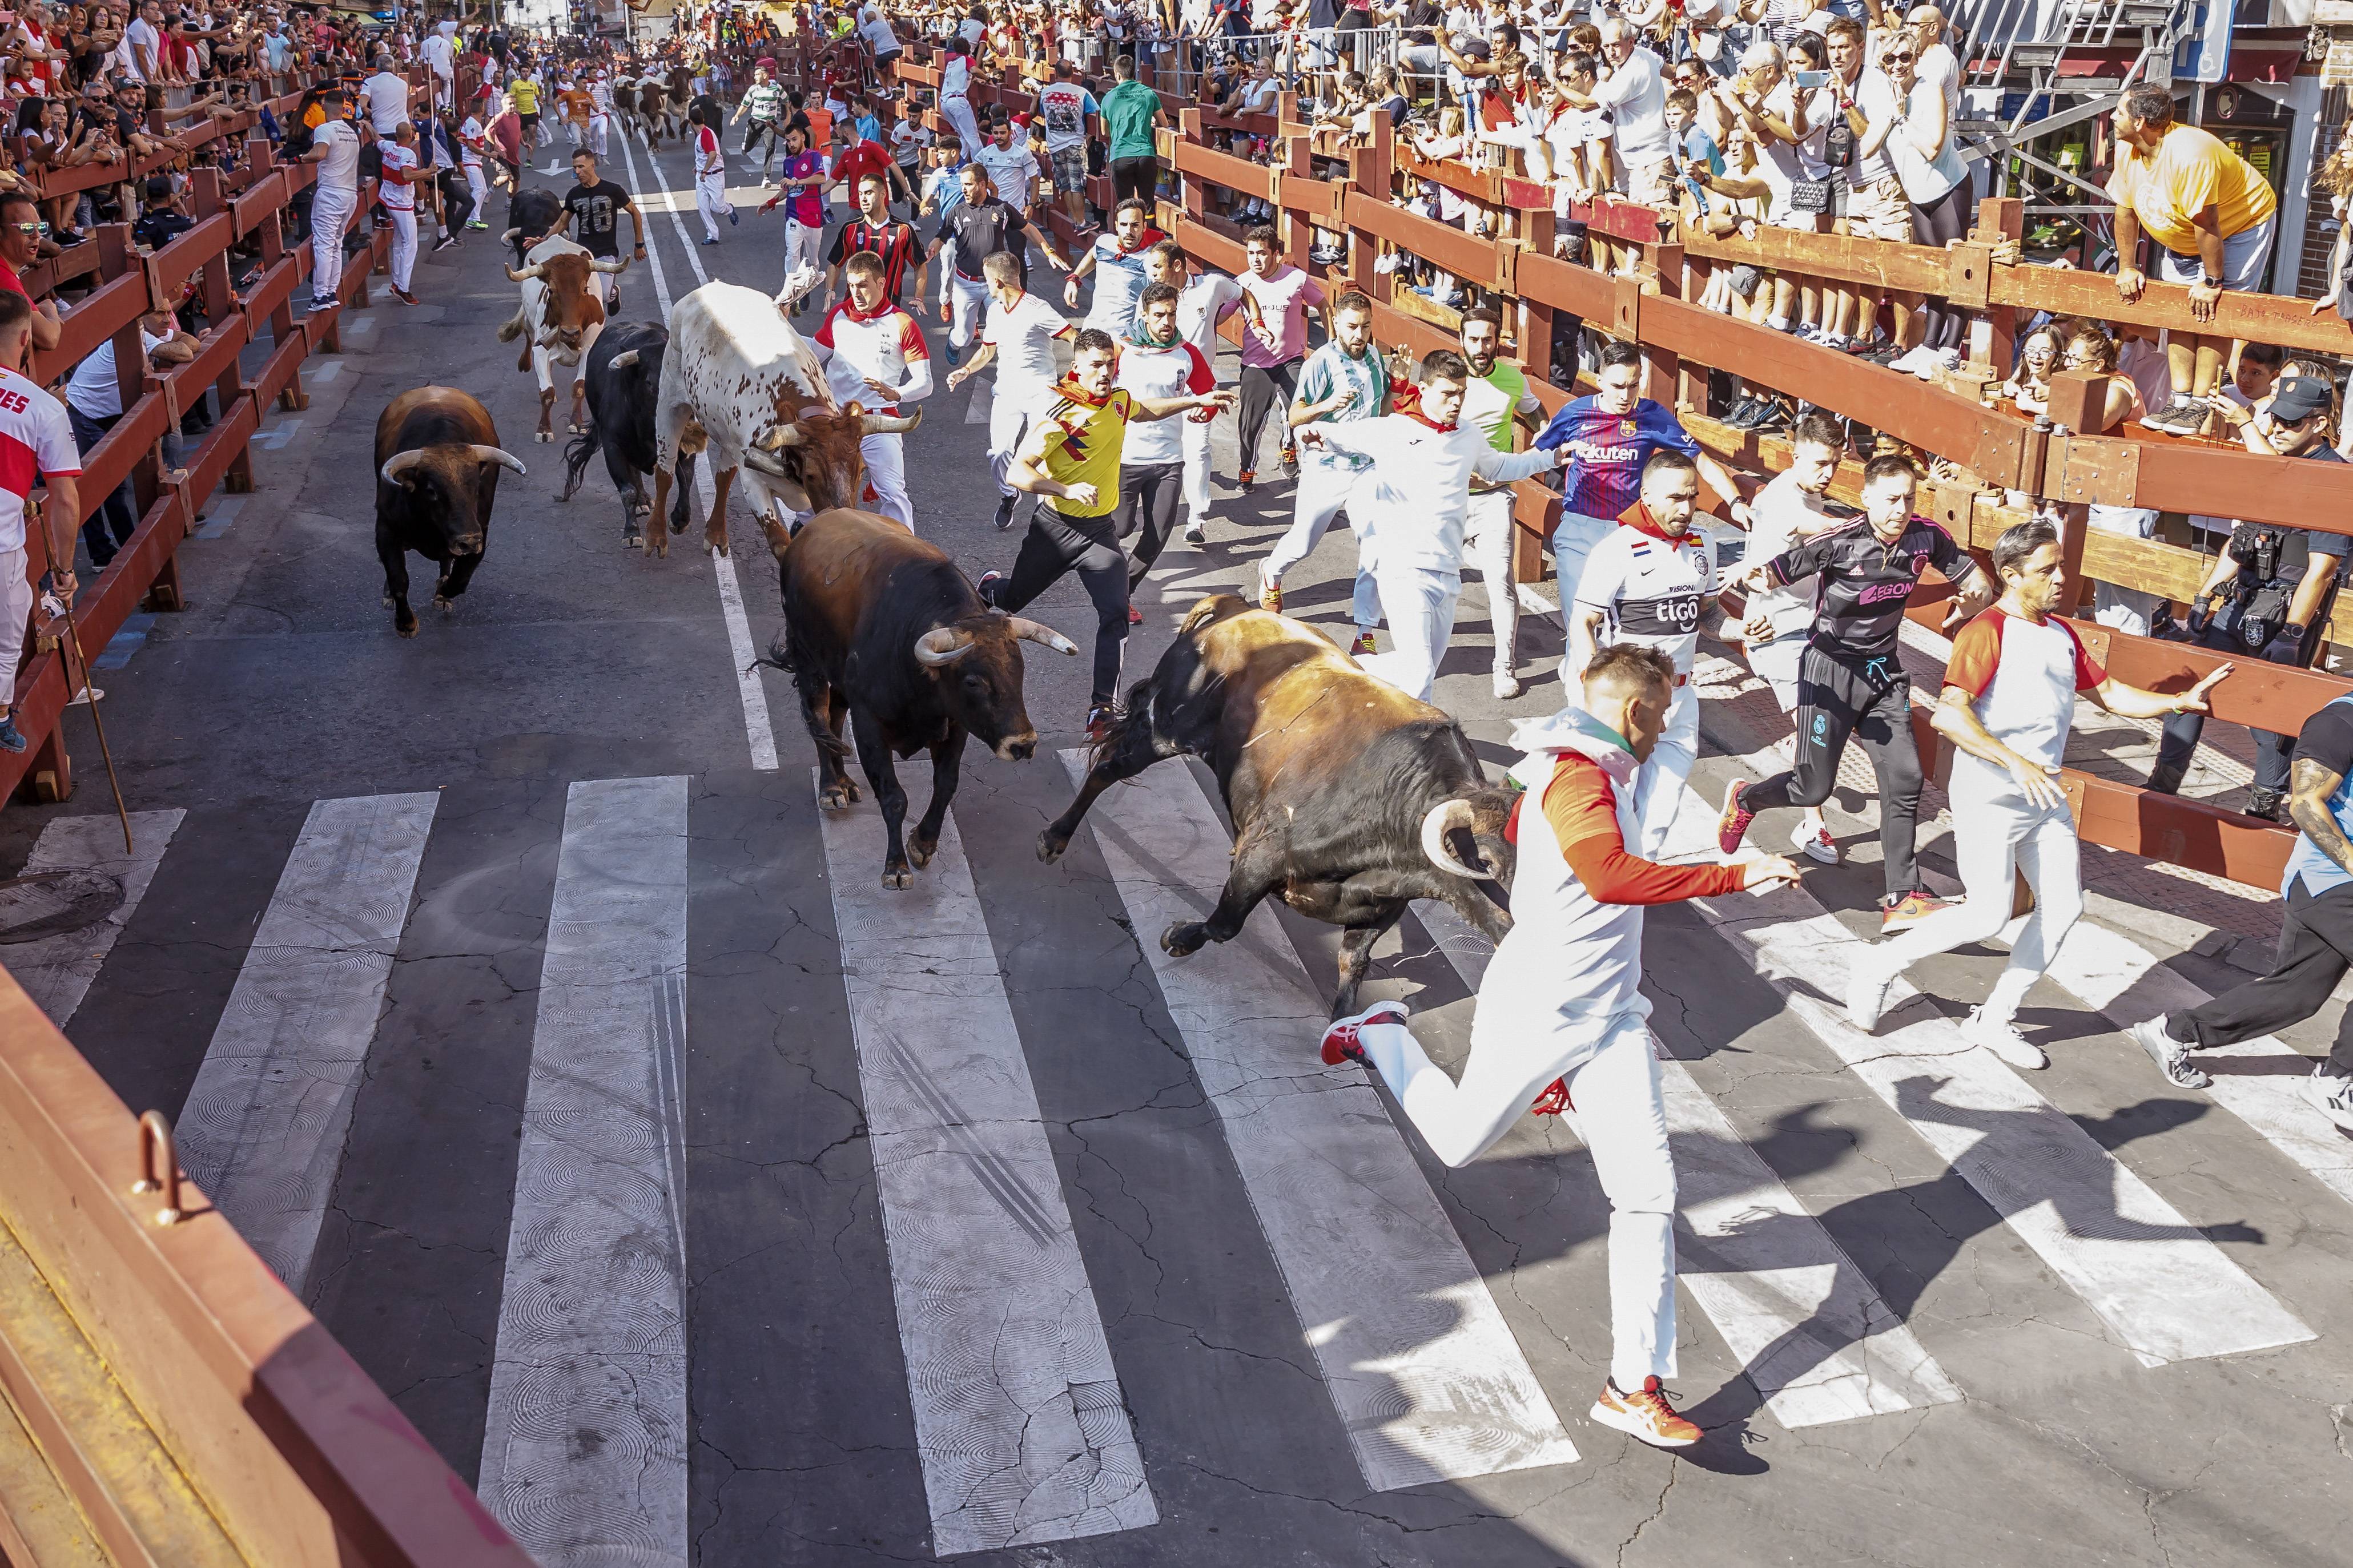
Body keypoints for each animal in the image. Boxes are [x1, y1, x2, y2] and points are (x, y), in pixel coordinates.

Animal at [372, 385, 524, 639]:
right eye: (431, 490)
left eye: (476, 485)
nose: (468, 540)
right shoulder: (385, 529)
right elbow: (398, 578)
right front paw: (406, 623)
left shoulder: (480, 532)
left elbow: (461, 579)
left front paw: (443, 591)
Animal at [781, 512, 1077, 888]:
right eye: (972, 681)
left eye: (1020, 669)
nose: (1023, 744)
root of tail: (814, 524)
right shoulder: (869, 727)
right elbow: (894, 797)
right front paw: (896, 866)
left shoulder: (956, 725)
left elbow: (946, 785)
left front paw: (922, 845)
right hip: (808, 660)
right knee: (818, 718)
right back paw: (832, 788)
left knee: (833, 715)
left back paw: (846, 782)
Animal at [1040, 597, 1515, 1020]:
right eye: (1485, 860)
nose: (1515, 929)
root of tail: (1233, 608)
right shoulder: (1261, 855)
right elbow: (1226, 922)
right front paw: (1179, 937)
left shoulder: (1376, 911)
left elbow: (1351, 967)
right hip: (1164, 730)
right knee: (1108, 769)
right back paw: (1054, 838)